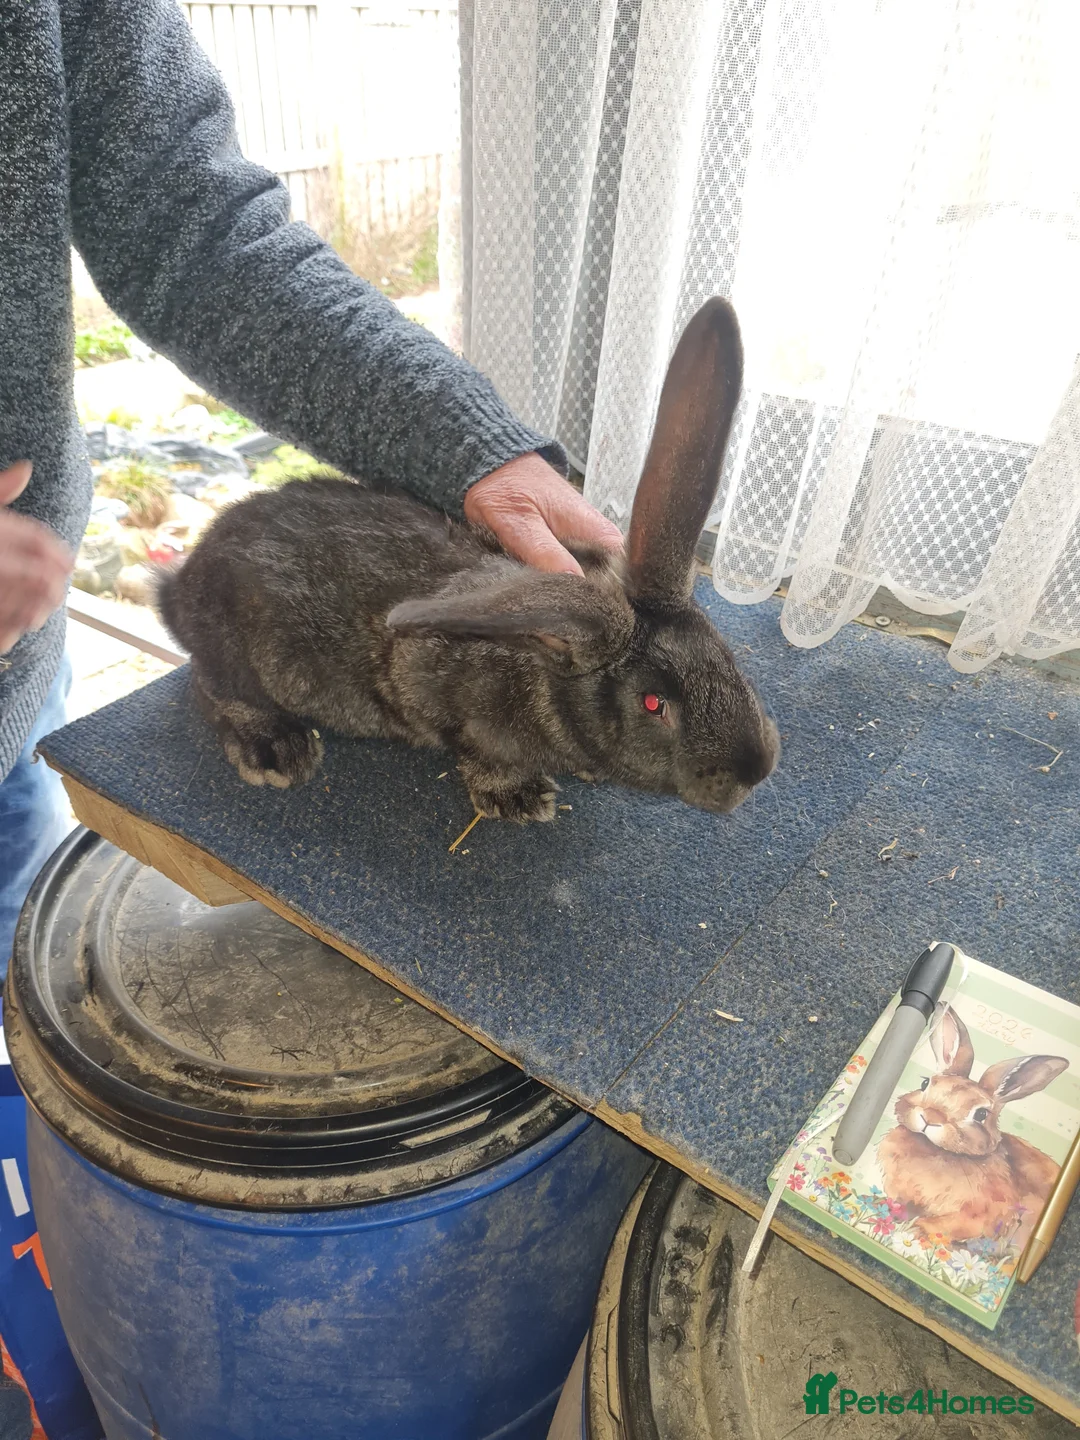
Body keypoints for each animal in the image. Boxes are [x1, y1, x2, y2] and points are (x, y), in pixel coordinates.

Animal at [156, 297, 779, 823]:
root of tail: (179, 583)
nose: (754, 771)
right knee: (214, 689)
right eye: (655, 704)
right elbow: (476, 750)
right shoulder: (430, 686)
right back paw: (276, 751)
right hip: (238, 656)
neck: (551, 679)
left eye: (728, 658)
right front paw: (521, 799)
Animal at [877, 1003, 1068, 1246]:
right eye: (925, 1083)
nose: (931, 1118)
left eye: (981, 1114)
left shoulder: (984, 1212)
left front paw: (916, 1231)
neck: (935, 1150)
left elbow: (951, 1224)